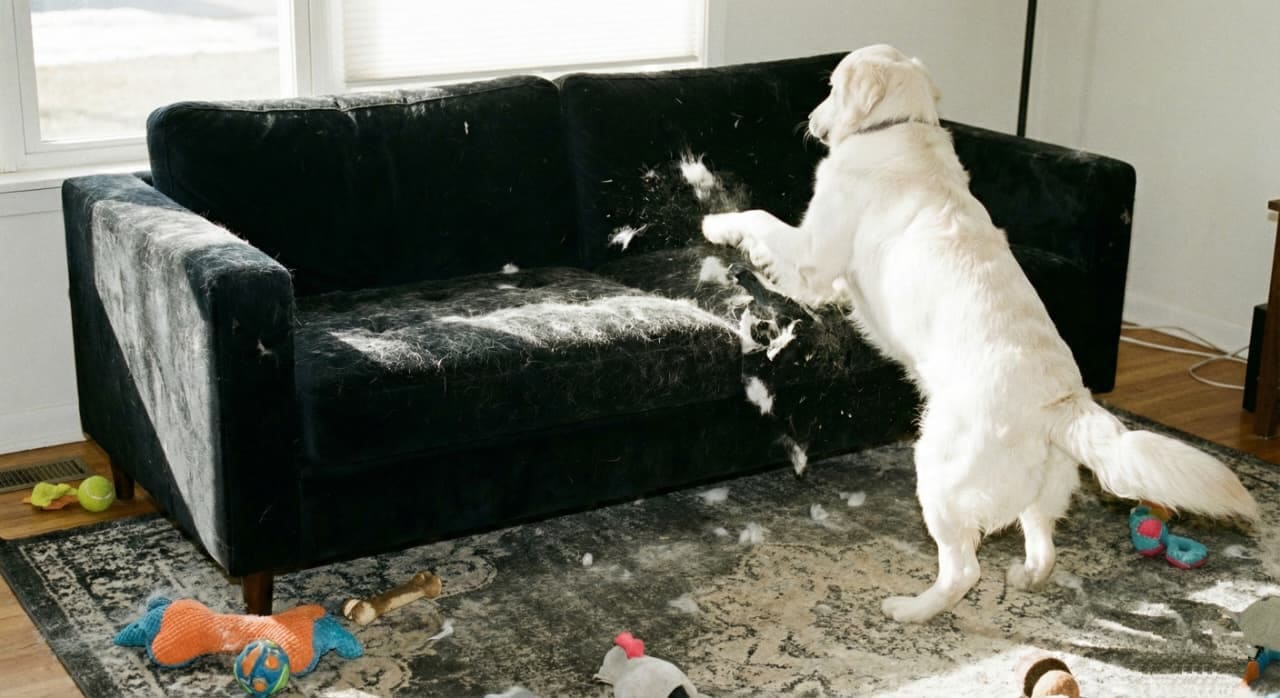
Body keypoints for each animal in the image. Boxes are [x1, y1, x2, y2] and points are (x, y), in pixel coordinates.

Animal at [702, 44, 1259, 623]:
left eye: (832, 87)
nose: (811, 122)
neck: (899, 127)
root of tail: (1061, 405)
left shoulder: (816, 251)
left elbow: (759, 217)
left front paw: (719, 228)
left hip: (939, 473)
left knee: (964, 569)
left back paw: (910, 609)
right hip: (1041, 490)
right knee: (1042, 544)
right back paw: (1027, 579)